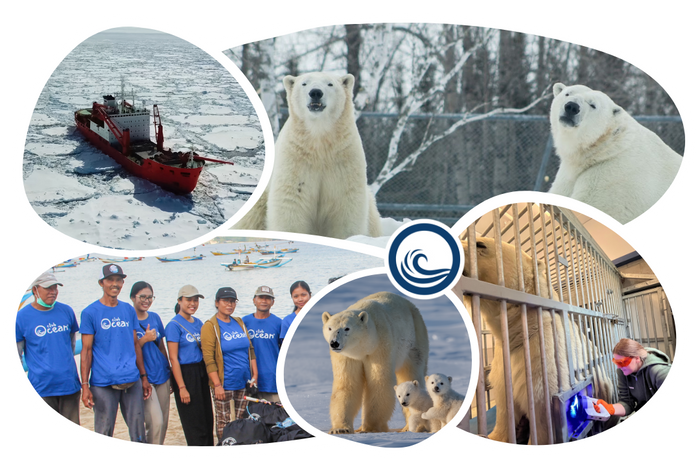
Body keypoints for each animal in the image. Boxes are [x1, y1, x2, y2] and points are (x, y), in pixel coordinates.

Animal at [234, 72, 383, 239]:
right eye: (304, 83)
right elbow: (291, 201)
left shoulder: (344, 159)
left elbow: (346, 205)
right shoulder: (296, 160)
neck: (319, 143)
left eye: (330, 84)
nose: (316, 92)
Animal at [321, 292, 429, 434]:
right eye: (329, 328)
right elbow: (347, 385)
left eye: (347, 328)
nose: (334, 343)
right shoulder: (346, 356)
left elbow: (379, 382)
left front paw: (370, 428)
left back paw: (409, 427)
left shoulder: (380, 345)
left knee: (411, 373)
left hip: (414, 340)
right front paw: (340, 429)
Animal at [461, 236, 613, 444]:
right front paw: (496, 436)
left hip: (603, 384)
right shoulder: (503, 361)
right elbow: (505, 407)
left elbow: (542, 417)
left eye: (480, 243)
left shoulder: (545, 357)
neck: (520, 329)